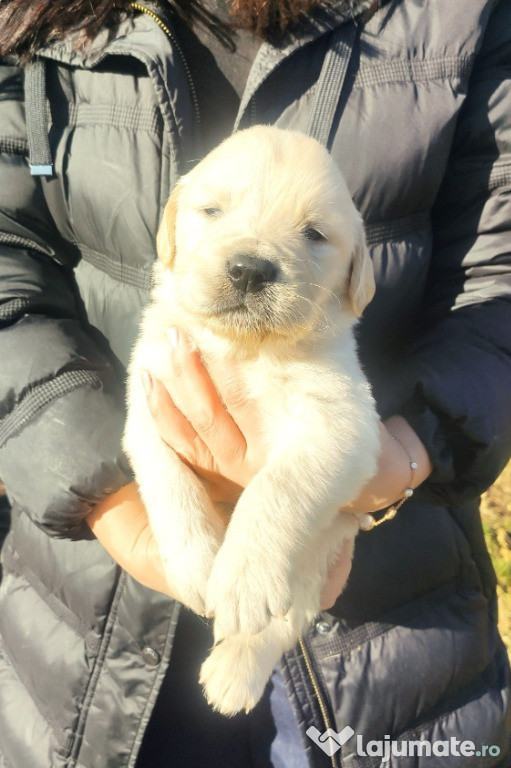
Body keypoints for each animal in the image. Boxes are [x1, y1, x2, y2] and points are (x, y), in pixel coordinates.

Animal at [123, 123, 380, 716]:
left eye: (314, 234)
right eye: (212, 211)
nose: (249, 270)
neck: (243, 349)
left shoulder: (344, 425)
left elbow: (278, 487)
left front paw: (240, 579)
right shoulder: (148, 394)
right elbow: (166, 480)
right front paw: (197, 566)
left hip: (320, 556)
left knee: (282, 624)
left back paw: (232, 673)